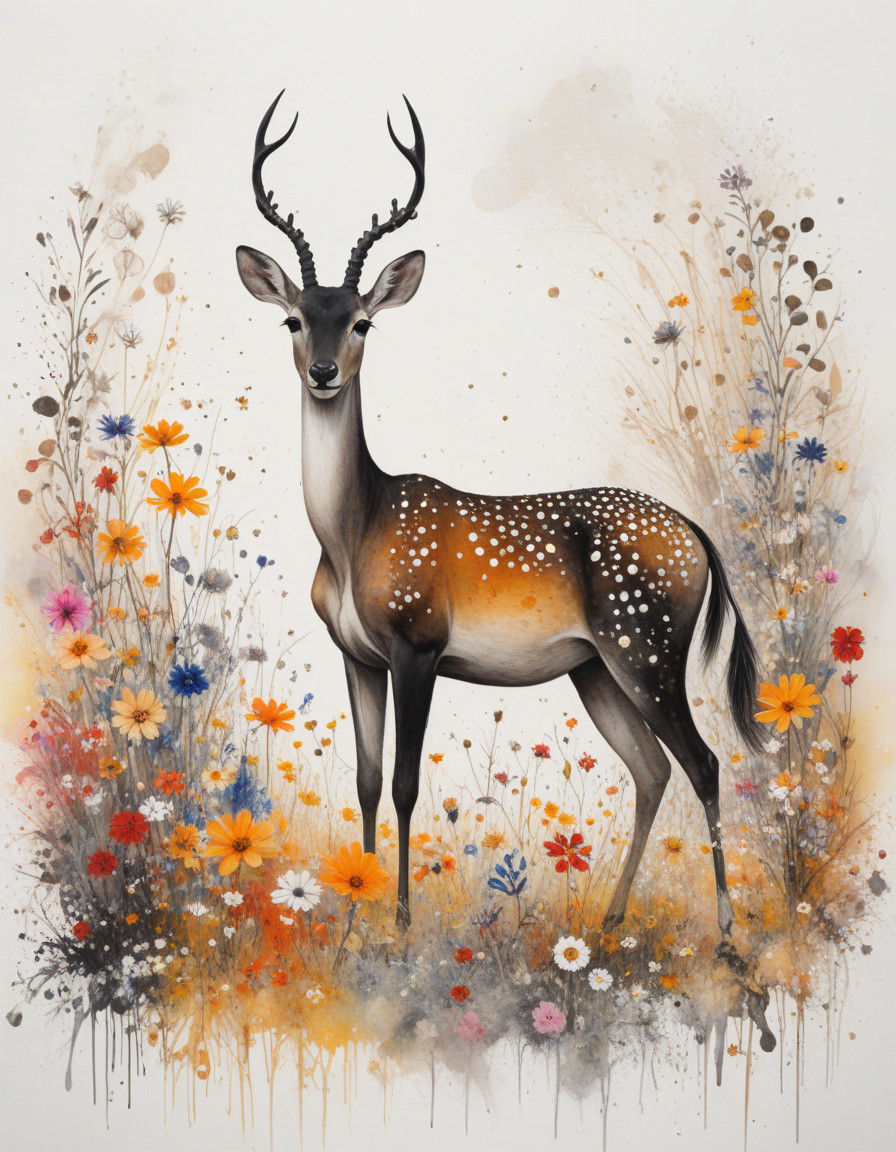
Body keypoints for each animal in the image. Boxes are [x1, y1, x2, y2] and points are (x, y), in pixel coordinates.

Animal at [236, 92, 763, 936]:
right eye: (292, 319)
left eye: (362, 322)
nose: (321, 371)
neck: (354, 537)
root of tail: (697, 537)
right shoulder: (357, 653)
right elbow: (366, 778)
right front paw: (354, 913)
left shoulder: (419, 640)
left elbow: (405, 782)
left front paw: (402, 922)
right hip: (596, 666)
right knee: (652, 768)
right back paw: (611, 919)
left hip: (647, 641)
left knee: (705, 759)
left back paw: (724, 932)